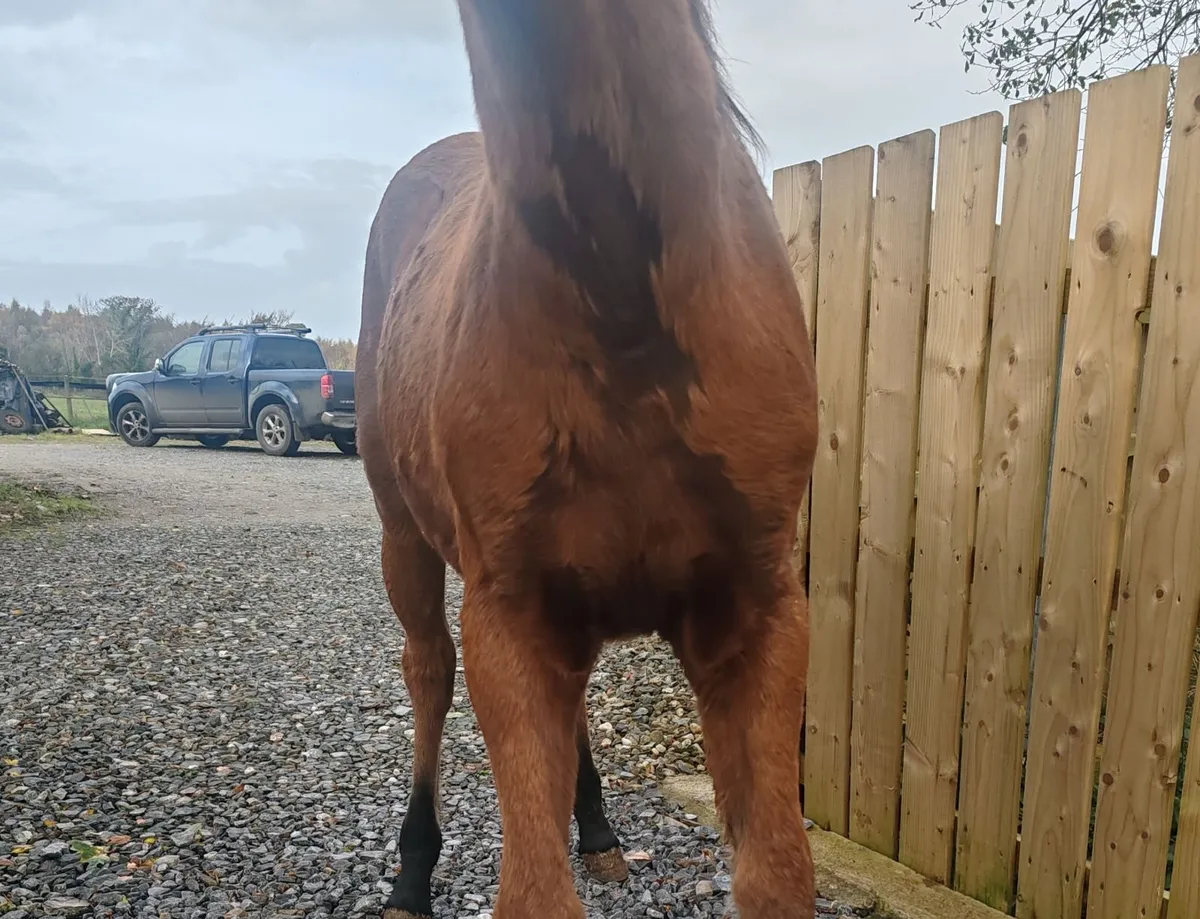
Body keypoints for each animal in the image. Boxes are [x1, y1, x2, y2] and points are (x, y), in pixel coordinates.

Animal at [356, 2, 818, 917]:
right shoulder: (508, 619)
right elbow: (534, 889)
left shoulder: (760, 614)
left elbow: (778, 873)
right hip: (405, 535)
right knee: (428, 668)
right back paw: (413, 869)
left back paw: (598, 826)